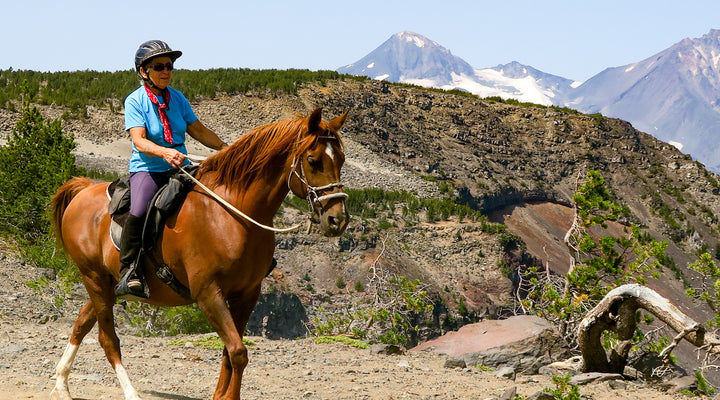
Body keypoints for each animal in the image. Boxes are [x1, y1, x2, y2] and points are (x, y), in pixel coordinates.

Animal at [49, 107, 349, 400]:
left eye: (342, 160)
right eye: (313, 161)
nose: (337, 220)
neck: (230, 214)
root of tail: (83, 190)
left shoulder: (247, 295)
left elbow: (230, 352)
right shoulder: (208, 293)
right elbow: (238, 352)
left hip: (108, 285)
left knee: (82, 322)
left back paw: (62, 384)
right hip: (94, 278)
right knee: (107, 338)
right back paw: (130, 393)